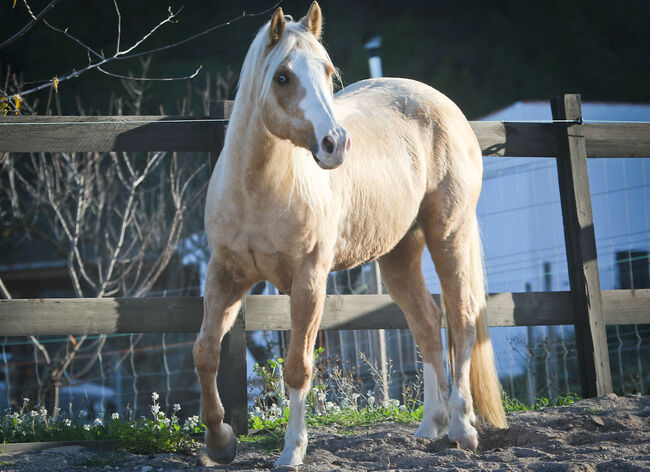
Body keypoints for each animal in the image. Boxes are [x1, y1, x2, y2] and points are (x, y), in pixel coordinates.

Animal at [192, 0, 506, 464]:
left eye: (326, 71)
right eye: (282, 76)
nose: (335, 143)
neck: (258, 189)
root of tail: (445, 106)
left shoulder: (309, 281)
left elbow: (298, 368)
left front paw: (292, 452)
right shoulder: (226, 275)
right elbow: (206, 353)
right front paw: (220, 441)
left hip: (449, 234)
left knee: (462, 319)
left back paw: (462, 429)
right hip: (399, 254)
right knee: (427, 322)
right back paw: (429, 426)